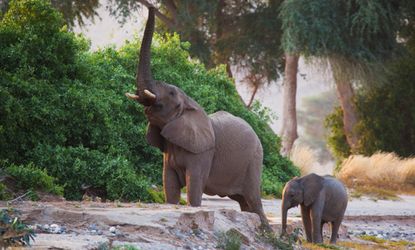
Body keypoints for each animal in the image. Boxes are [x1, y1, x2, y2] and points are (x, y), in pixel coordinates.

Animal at [125, 6, 272, 229]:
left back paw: (267, 230)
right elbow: (169, 183)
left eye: (171, 93)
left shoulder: (204, 152)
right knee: (243, 201)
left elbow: (194, 184)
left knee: (253, 198)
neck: (189, 105)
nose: (152, 7)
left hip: (254, 161)